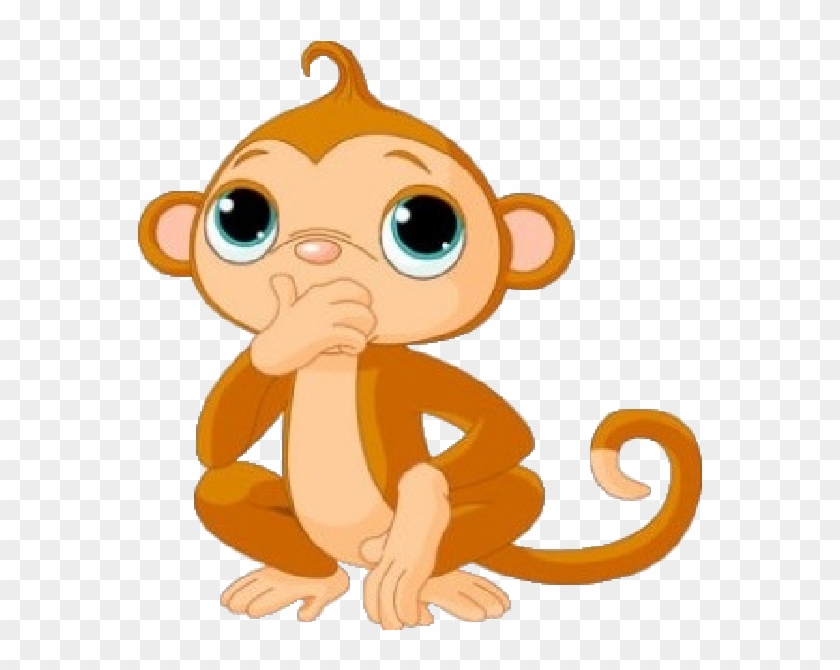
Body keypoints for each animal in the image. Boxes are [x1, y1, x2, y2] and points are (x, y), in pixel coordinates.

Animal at [138, 41, 702, 630]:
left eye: (427, 226)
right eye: (240, 213)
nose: (318, 250)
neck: (347, 358)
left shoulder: (406, 370)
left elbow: (506, 435)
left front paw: (418, 514)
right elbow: (214, 447)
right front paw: (296, 327)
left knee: (521, 489)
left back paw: (437, 578)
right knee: (223, 488)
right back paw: (309, 579)